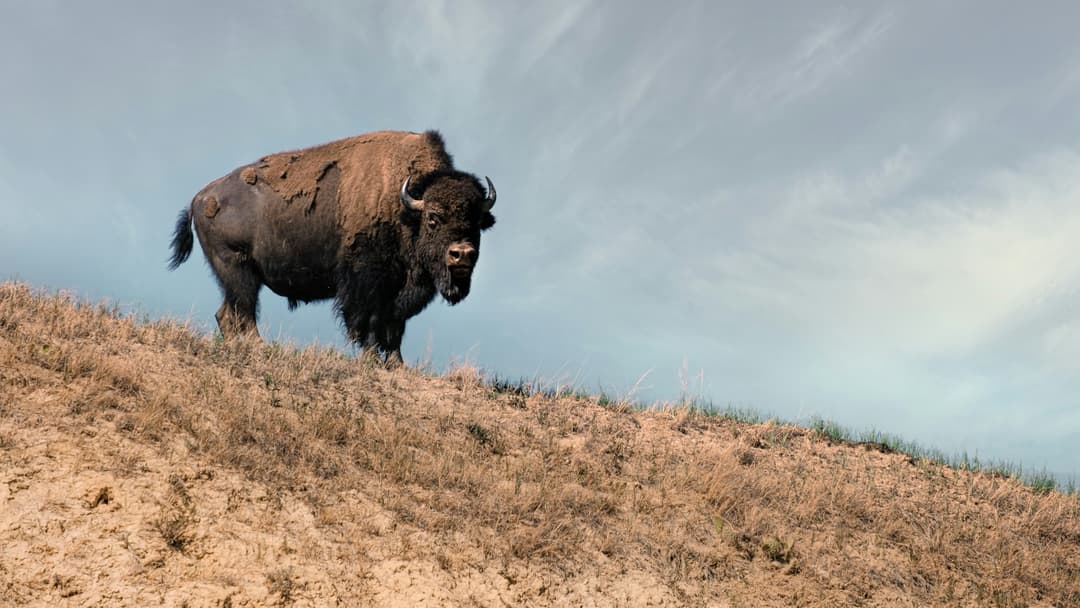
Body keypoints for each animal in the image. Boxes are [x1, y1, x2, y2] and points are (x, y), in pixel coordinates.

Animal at [168, 130, 496, 367]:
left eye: (476, 221)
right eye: (433, 218)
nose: (462, 254)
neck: (406, 209)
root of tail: (200, 197)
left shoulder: (399, 292)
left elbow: (395, 328)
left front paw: (397, 365)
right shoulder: (367, 284)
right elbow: (370, 323)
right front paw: (370, 359)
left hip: (237, 276)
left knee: (228, 313)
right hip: (238, 270)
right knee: (244, 312)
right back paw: (259, 347)